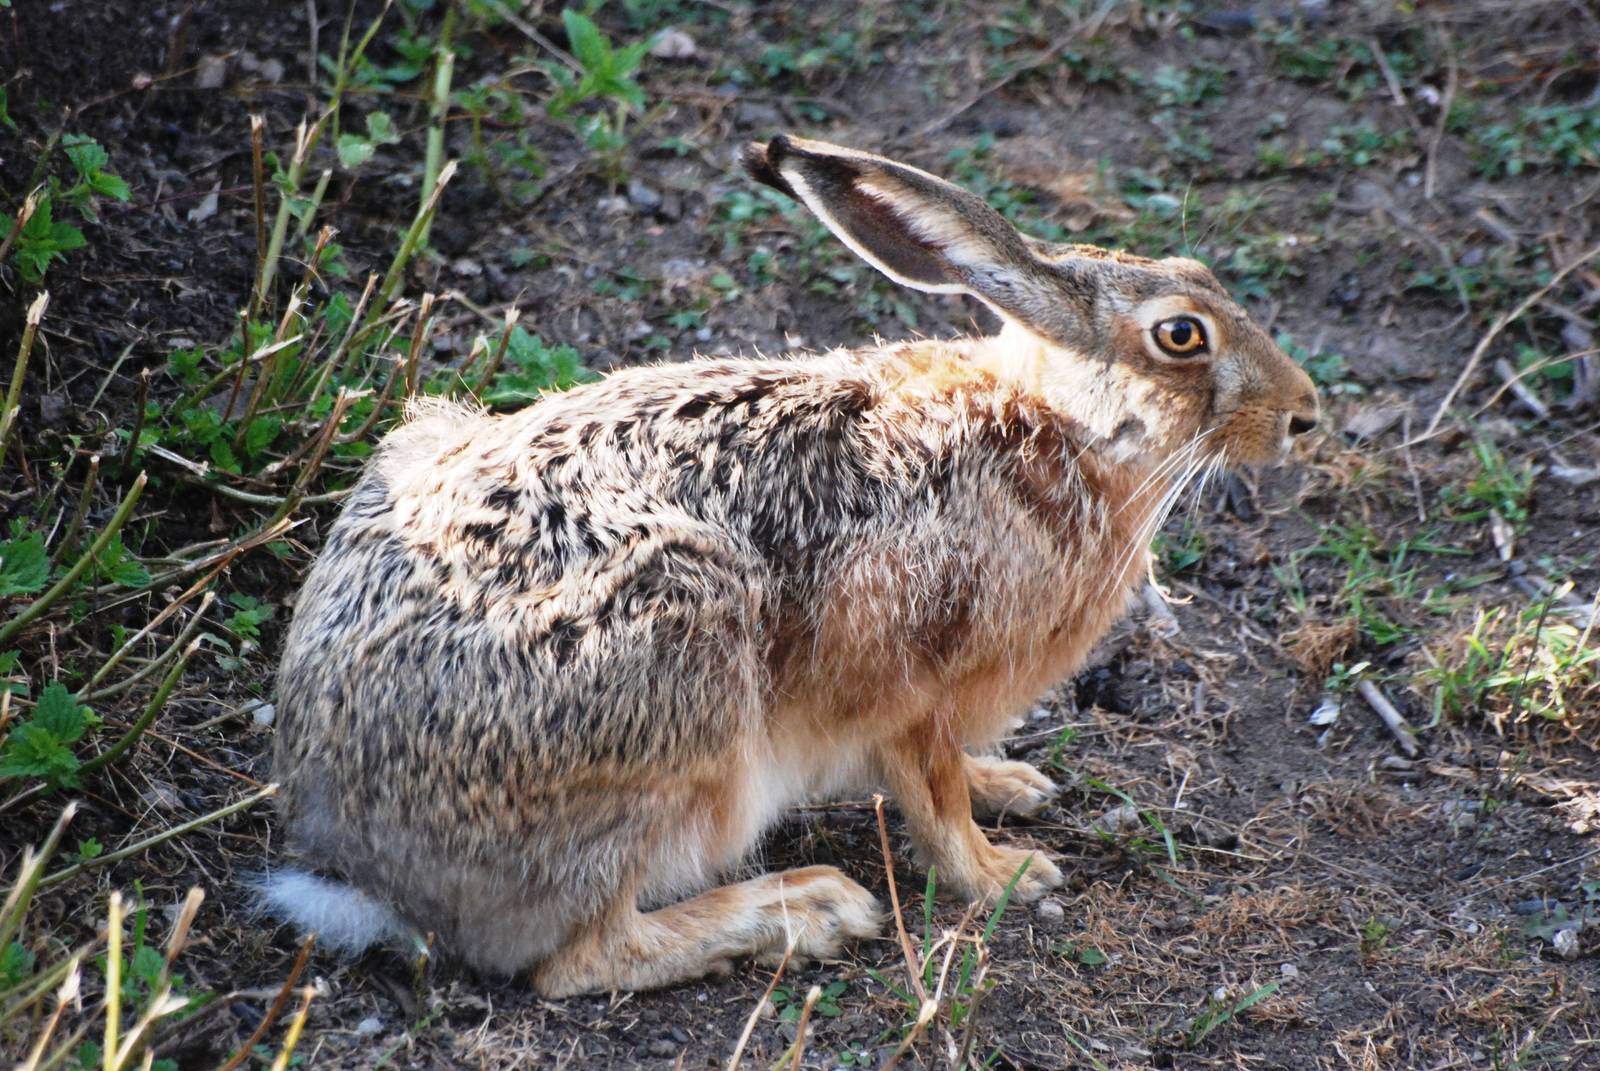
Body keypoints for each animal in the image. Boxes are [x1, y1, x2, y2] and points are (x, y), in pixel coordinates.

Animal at [261, 133, 1319, 996]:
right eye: (1181, 335)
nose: (1305, 414)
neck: (1060, 427)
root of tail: (363, 856)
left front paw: (1011, 784)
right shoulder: (914, 685)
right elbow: (932, 797)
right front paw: (1005, 873)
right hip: (679, 670)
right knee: (579, 957)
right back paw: (805, 908)